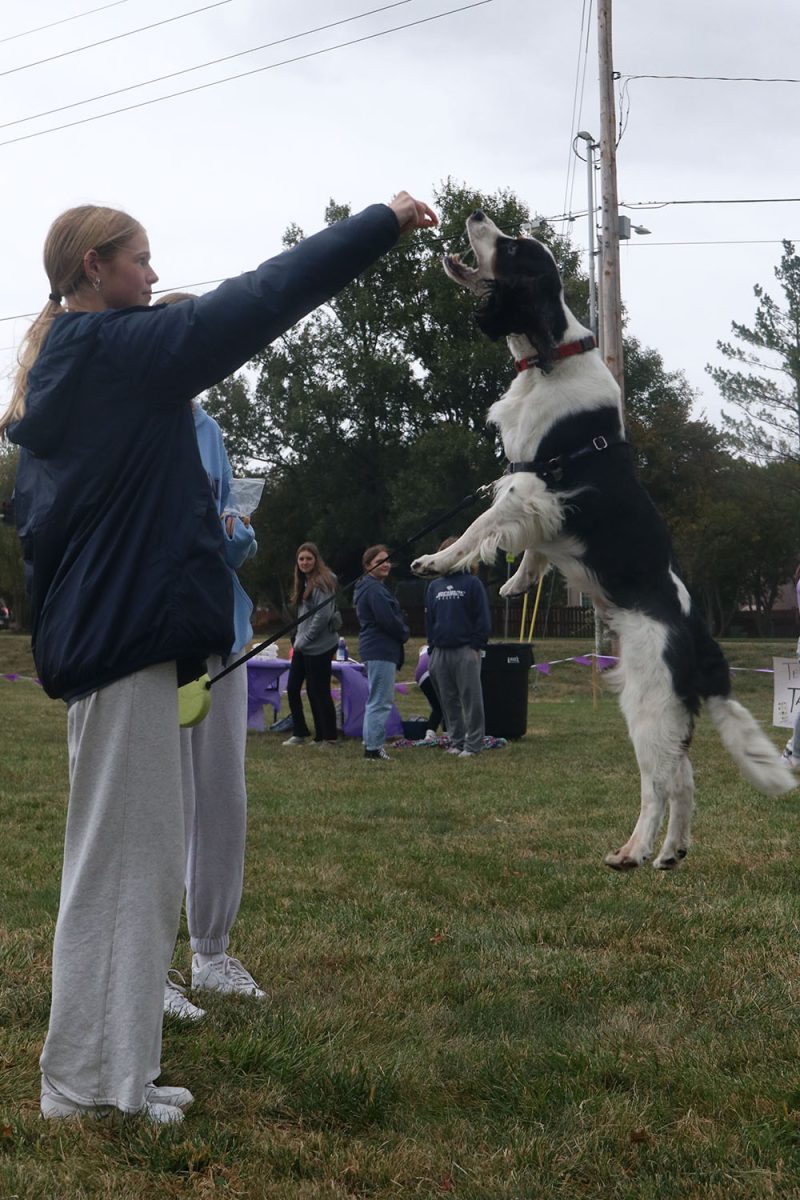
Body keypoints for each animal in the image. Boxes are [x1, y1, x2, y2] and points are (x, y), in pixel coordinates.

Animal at [412, 213, 796, 873]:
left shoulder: (528, 484)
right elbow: (533, 548)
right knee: (685, 781)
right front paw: (517, 582)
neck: (548, 358)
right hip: (668, 712)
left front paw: (436, 559)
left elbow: (477, 528)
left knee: (661, 783)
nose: (477, 216)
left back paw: (633, 851)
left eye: (512, 248)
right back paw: (669, 853)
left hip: (647, 704)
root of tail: (699, 638)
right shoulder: (539, 502)